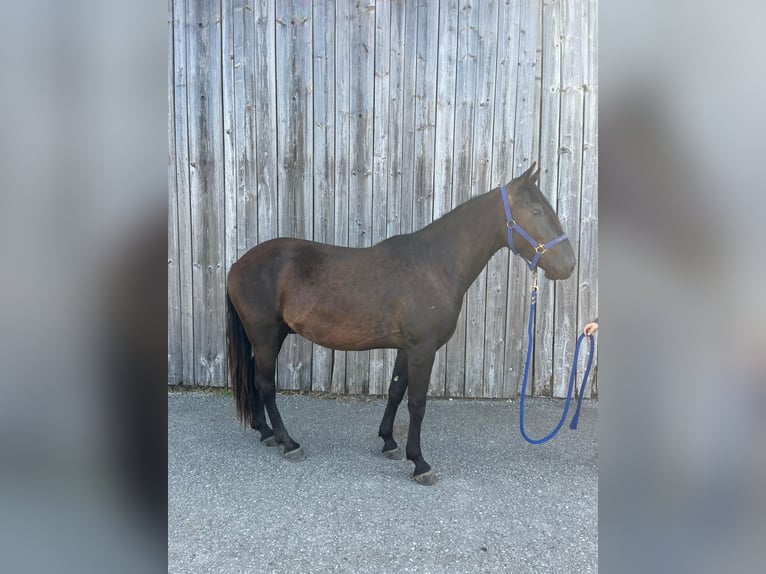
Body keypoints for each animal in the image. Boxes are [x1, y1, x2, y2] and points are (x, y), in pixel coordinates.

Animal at [225, 163, 576, 485]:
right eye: (536, 211)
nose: (569, 265)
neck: (435, 265)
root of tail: (239, 264)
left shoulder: (408, 348)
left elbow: (395, 391)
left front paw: (389, 442)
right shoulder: (424, 349)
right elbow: (417, 403)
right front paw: (419, 463)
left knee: (255, 379)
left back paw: (265, 432)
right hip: (266, 335)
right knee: (265, 384)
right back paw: (288, 442)